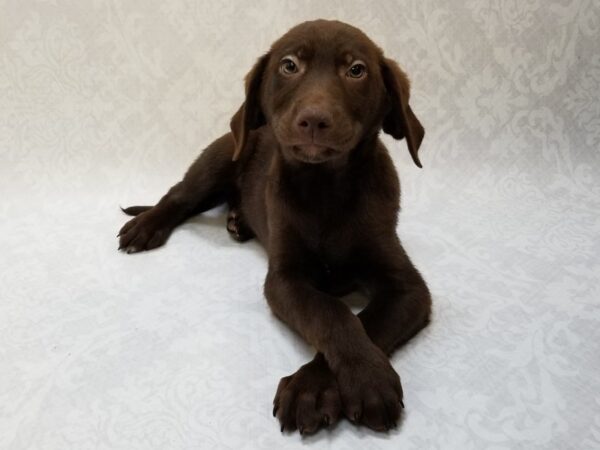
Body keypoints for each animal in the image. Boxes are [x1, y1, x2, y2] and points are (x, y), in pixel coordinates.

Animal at [118, 19, 432, 434]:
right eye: (289, 66)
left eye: (356, 70)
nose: (314, 119)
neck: (325, 190)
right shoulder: (284, 278)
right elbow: (329, 312)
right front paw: (357, 380)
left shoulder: (407, 286)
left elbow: (366, 320)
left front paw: (327, 384)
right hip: (219, 157)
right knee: (179, 196)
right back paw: (147, 225)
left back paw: (237, 221)